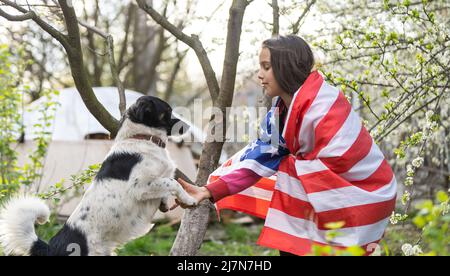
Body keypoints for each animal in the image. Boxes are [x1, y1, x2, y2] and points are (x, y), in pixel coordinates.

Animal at [0, 96, 199, 256]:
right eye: (167, 112)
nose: (189, 127)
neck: (142, 138)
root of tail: (50, 247)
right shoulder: (139, 186)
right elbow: (173, 183)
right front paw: (189, 199)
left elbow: (167, 185)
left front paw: (165, 202)